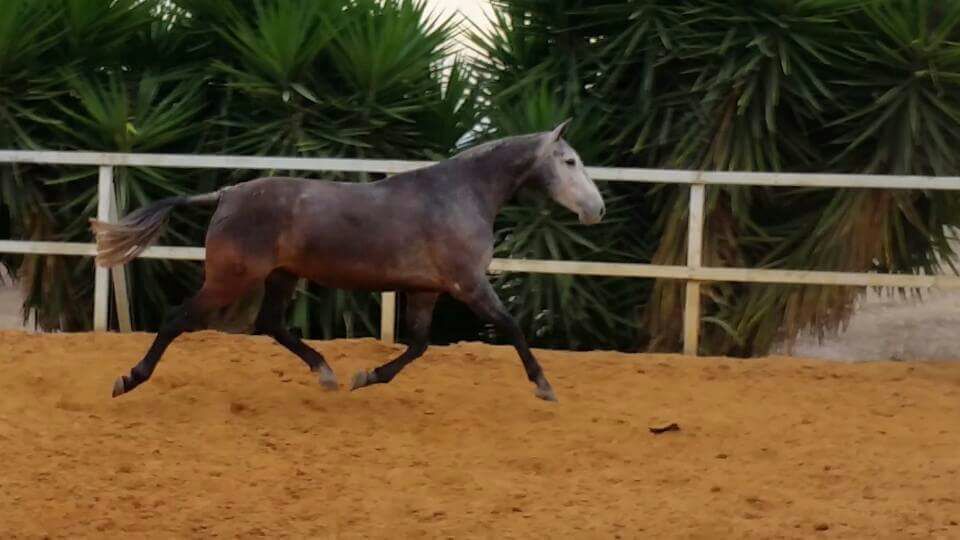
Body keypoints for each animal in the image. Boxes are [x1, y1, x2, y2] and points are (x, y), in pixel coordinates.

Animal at [95, 120, 608, 402]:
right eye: (569, 162)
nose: (597, 209)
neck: (459, 194)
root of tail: (225, 194)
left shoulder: (426, 289)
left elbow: (418, 345)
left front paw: (366, 377)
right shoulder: (468, 284)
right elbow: (511, 327)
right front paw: (544, 386)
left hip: (280, 277)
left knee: (270, 324)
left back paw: (326, 373)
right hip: (229, 279)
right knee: (176, 319)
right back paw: (128, 379)